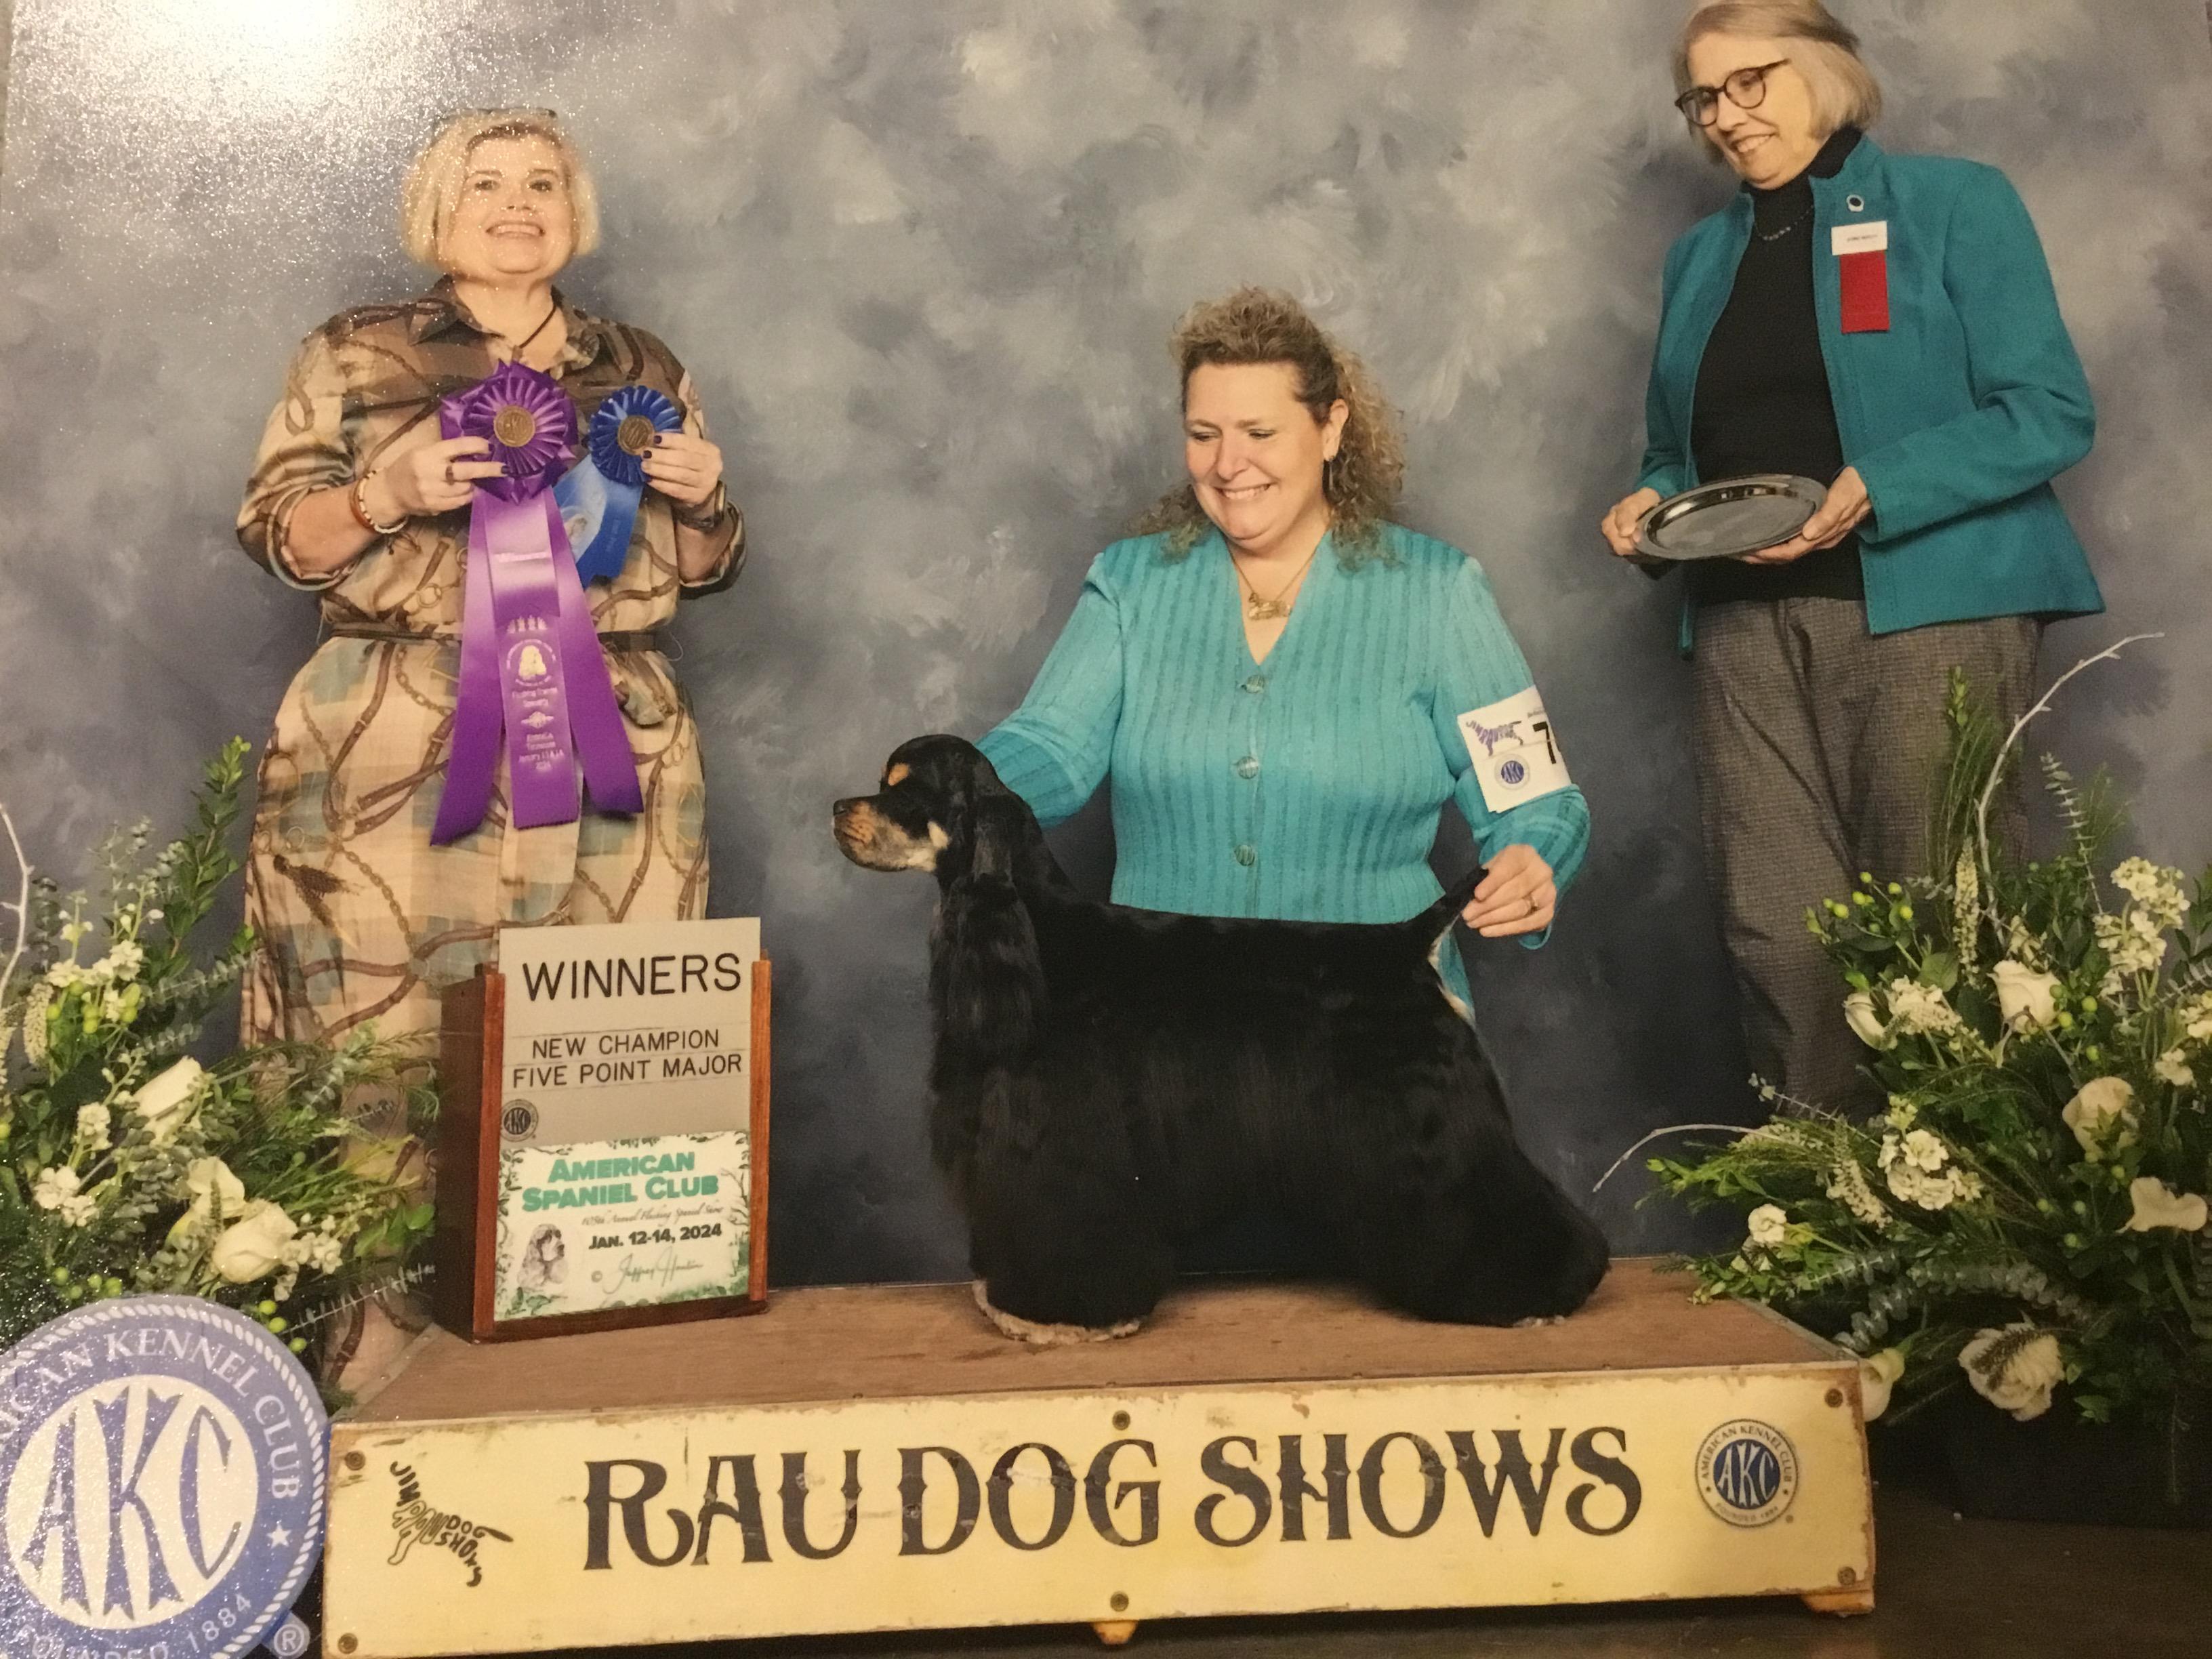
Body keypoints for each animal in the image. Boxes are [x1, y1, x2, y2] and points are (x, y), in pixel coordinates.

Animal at [833, 734, 1609, 1342]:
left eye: (905, 791)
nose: (838, 810)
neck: (1035, 932)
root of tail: (1407, 943)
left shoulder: (1065, 1139)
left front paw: (1056, 1314)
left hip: (1432, 1124)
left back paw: (1537, 1292)